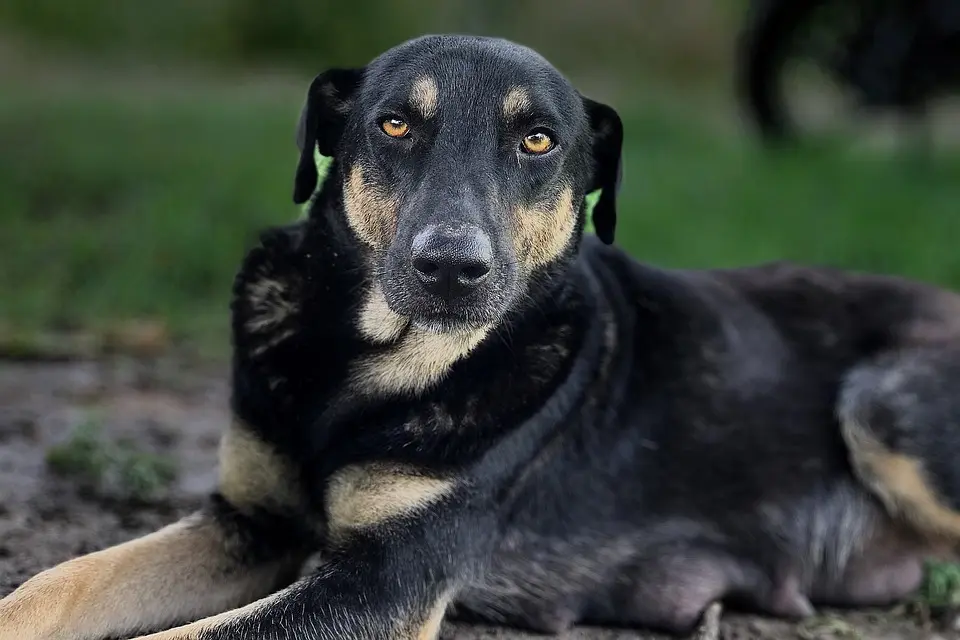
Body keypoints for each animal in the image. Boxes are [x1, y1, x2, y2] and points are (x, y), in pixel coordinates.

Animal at [5, 33, 960, 640]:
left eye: (538, 140)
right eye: (395, 123)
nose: (451, 268)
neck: (369, 362)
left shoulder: (384, 580)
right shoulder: (250, 522)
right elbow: (55, 582)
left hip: (883, 399)